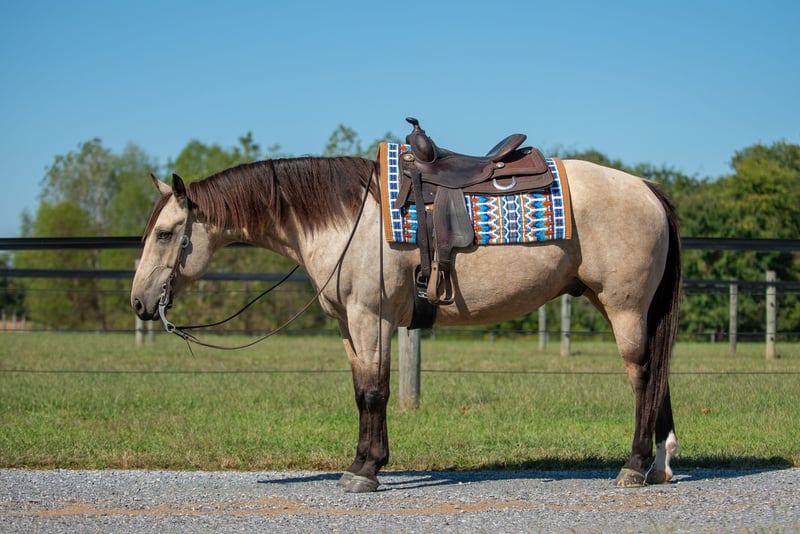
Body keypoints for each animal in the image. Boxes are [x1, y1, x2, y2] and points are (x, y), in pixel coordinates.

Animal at [130, 153, 682, 493]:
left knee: (643, 377)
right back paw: (660, 465)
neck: (346, 218)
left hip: (625, 308)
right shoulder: (349, 326)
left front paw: (366, 471)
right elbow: (361, 391)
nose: (139, 302)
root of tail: (645, 187)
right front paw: (363, 461)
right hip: (629, 308)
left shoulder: (370, 318)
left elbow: (376, 392)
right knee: (659, 376)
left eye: (166, 233)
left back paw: (634, 466)